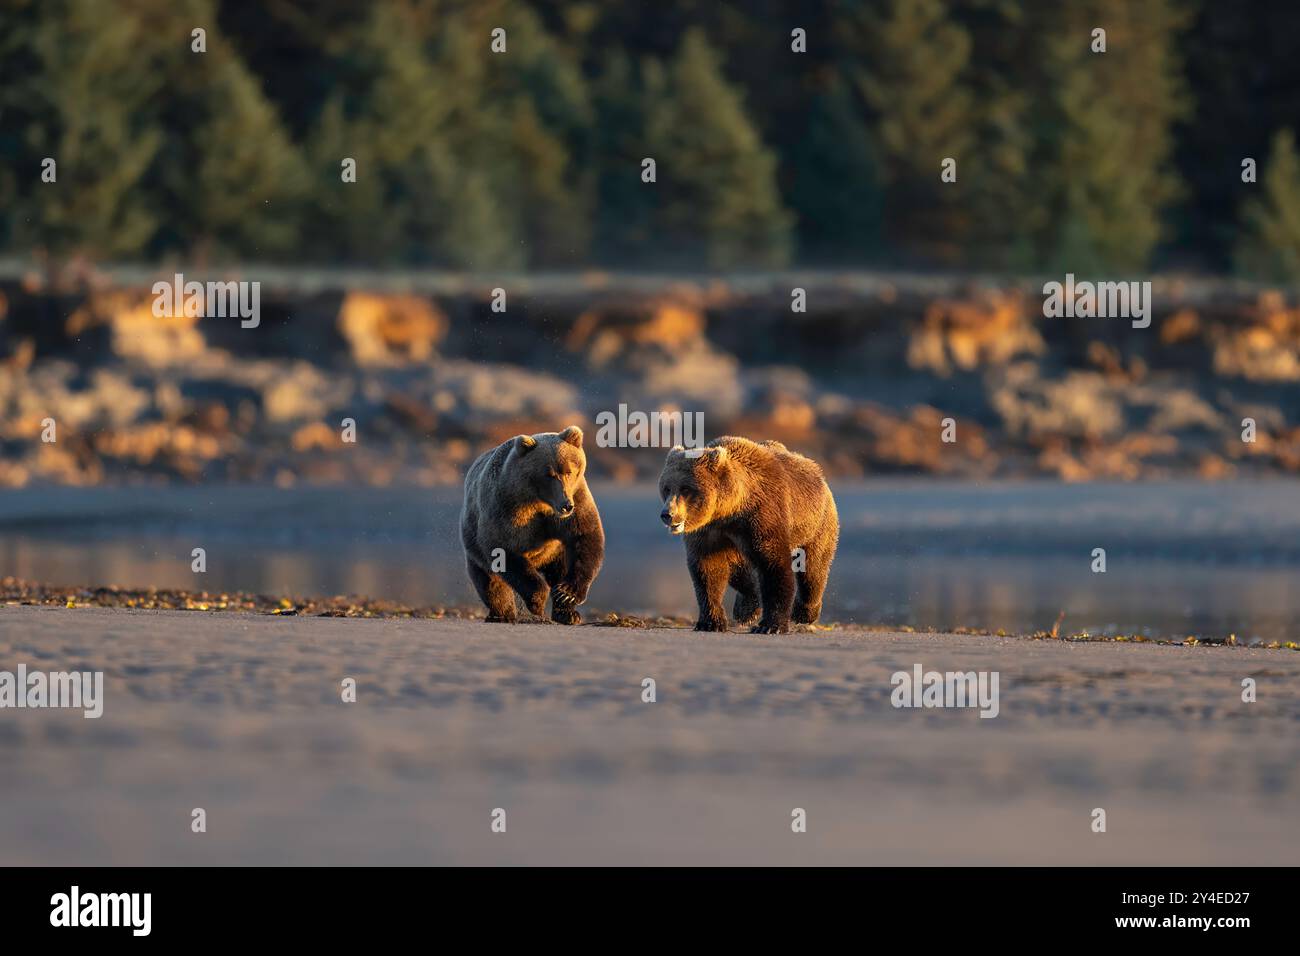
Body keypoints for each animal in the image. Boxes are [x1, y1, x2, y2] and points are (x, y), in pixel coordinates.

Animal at [462, 429, 603, 624]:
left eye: (569, 471)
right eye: (549, 474)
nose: (566, 505)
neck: (540, 501)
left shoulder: (576, 498)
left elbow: (585, 536)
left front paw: (567, 594)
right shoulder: (506, 508)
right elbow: (503, 550)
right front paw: (537, 601)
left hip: (555, 552)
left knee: (560, 569)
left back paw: (567, 613)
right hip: (473, 547)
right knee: (490, 583)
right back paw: (502, 614)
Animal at [660, 439, 842, 634]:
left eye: (686, 489)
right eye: (666, 488)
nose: (667, 514)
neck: (729, 511)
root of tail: (818, 472)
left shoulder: (762, 516)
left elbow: (773, 564)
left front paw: (770, 625)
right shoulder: (709, 532)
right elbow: (707, 569)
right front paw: (710, 623)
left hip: (816, 524)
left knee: (813, 567)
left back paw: (804, 612)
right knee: (741, 572)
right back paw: (746, 609)